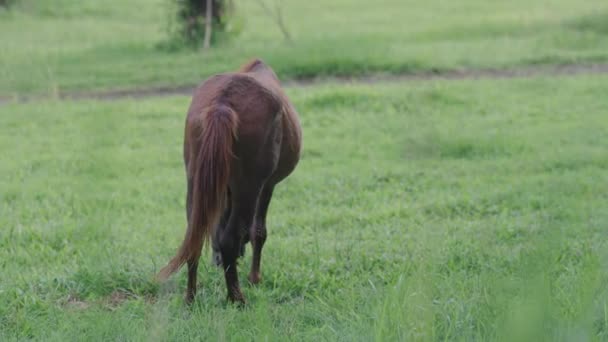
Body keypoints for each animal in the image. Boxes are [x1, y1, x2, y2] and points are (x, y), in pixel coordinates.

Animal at [156, 59, 300, 304]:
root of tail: (222, 103)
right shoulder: (267, 186)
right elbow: (257, 231)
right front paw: (254, 278)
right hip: (248, 186)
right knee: (230, 237)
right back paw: (237, 299)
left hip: (195, 180)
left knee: (195, 234)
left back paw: (190, 297)